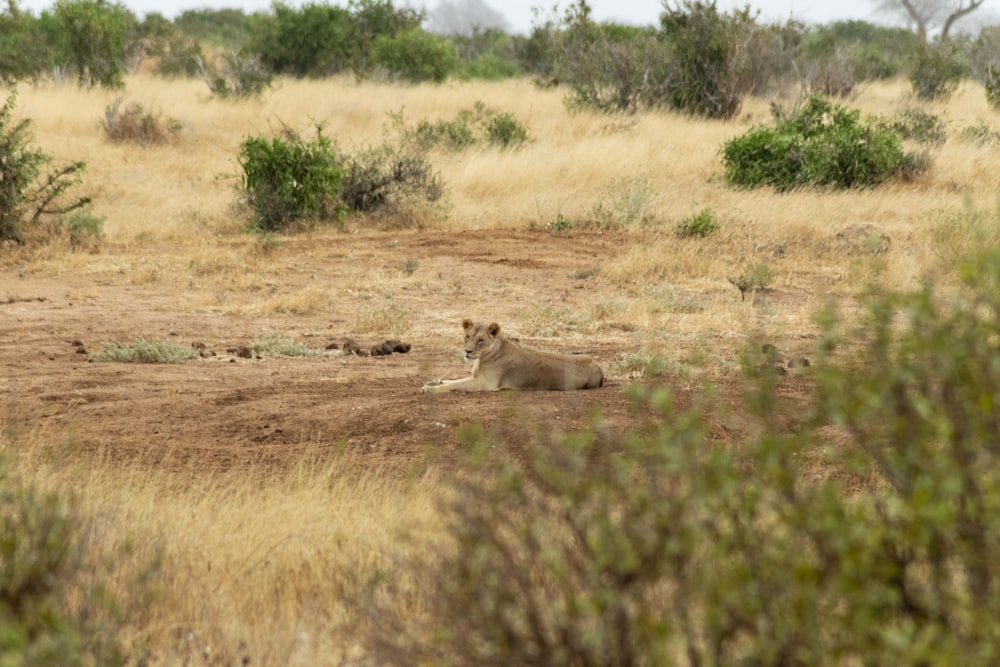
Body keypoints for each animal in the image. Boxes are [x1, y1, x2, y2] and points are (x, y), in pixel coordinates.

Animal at [420, 318, 604, 392]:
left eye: (480, 340)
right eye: (467, 337)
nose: (467, 351)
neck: (481, 358)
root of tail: (599, 368)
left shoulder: (486, 383)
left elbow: (455, 385)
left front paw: (430, 389)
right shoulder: (476, 377)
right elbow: (453, 380)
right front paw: (435, 381)